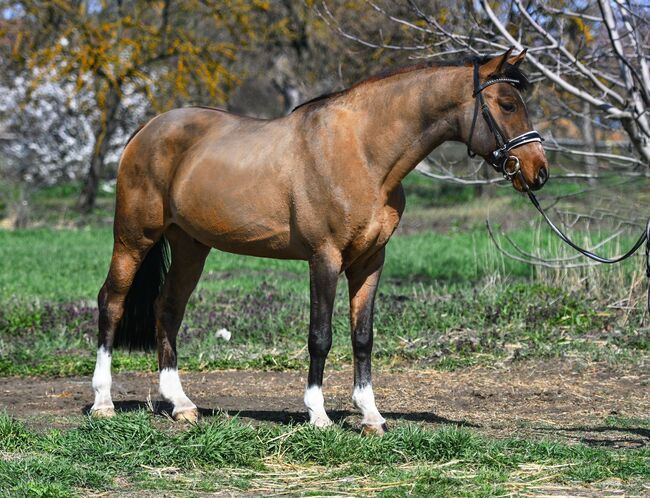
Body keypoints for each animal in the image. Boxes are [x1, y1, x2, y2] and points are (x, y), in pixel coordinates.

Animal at [90, 48, 548, 434]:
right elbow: (320, 336)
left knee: (167, 309)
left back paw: (181, 405)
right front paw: (318, 414)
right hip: (133, 238)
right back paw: (103, 403)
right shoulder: (324, 258)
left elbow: (362, 337)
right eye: (507, 104)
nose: (538, 171)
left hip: (190, 246)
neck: (363, 152)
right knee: (111, 301)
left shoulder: (370, 262)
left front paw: (371, 417)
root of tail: (146, 128)